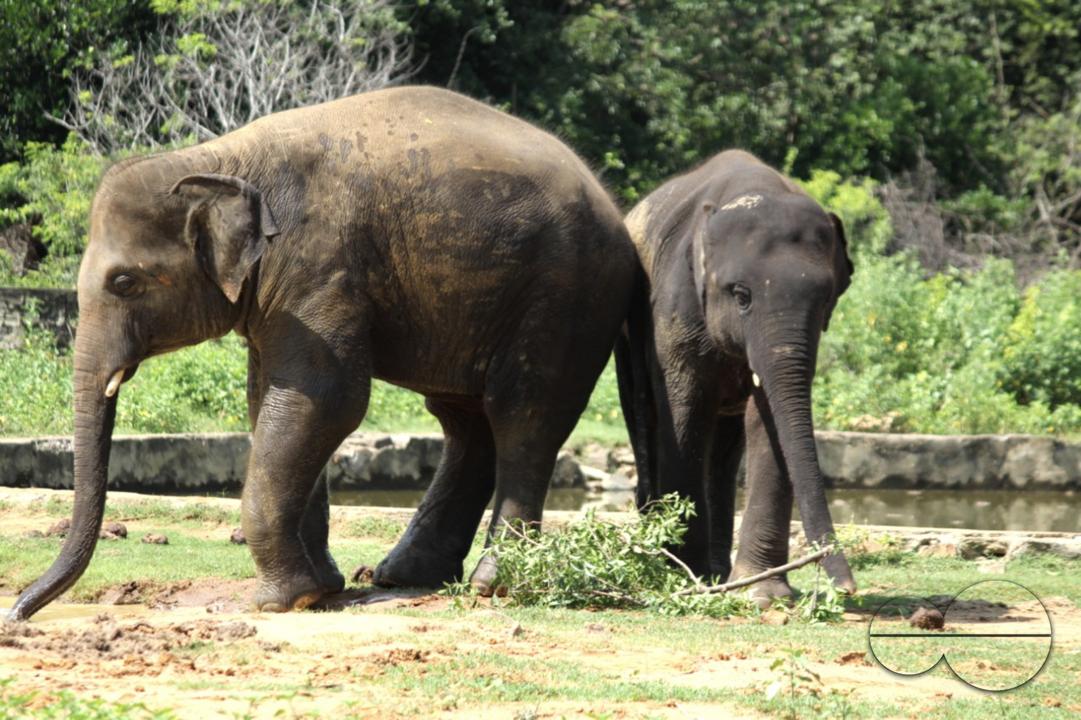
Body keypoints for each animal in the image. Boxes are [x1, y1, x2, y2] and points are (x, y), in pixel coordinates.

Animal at [8, 86, 637, 621]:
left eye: (124, 283)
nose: (16, 614)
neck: (220, 158)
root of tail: (611, 204)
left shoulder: (318, 262)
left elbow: (326, 400)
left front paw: (281, 602)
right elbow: (274, 403)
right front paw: (322, 590)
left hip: (566, 298)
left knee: (523, 417)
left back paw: (491, 585)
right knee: (465, 422)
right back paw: (402, 576)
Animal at [615, 149, 855, 605]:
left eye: (824, 301)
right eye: (741, 296)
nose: (848, 588)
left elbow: (768, 419)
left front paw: (764, 594)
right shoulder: (675, 309)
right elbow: (685, 411)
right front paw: (686, 577)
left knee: (724, 452)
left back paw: (719, 572)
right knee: (644, 417)